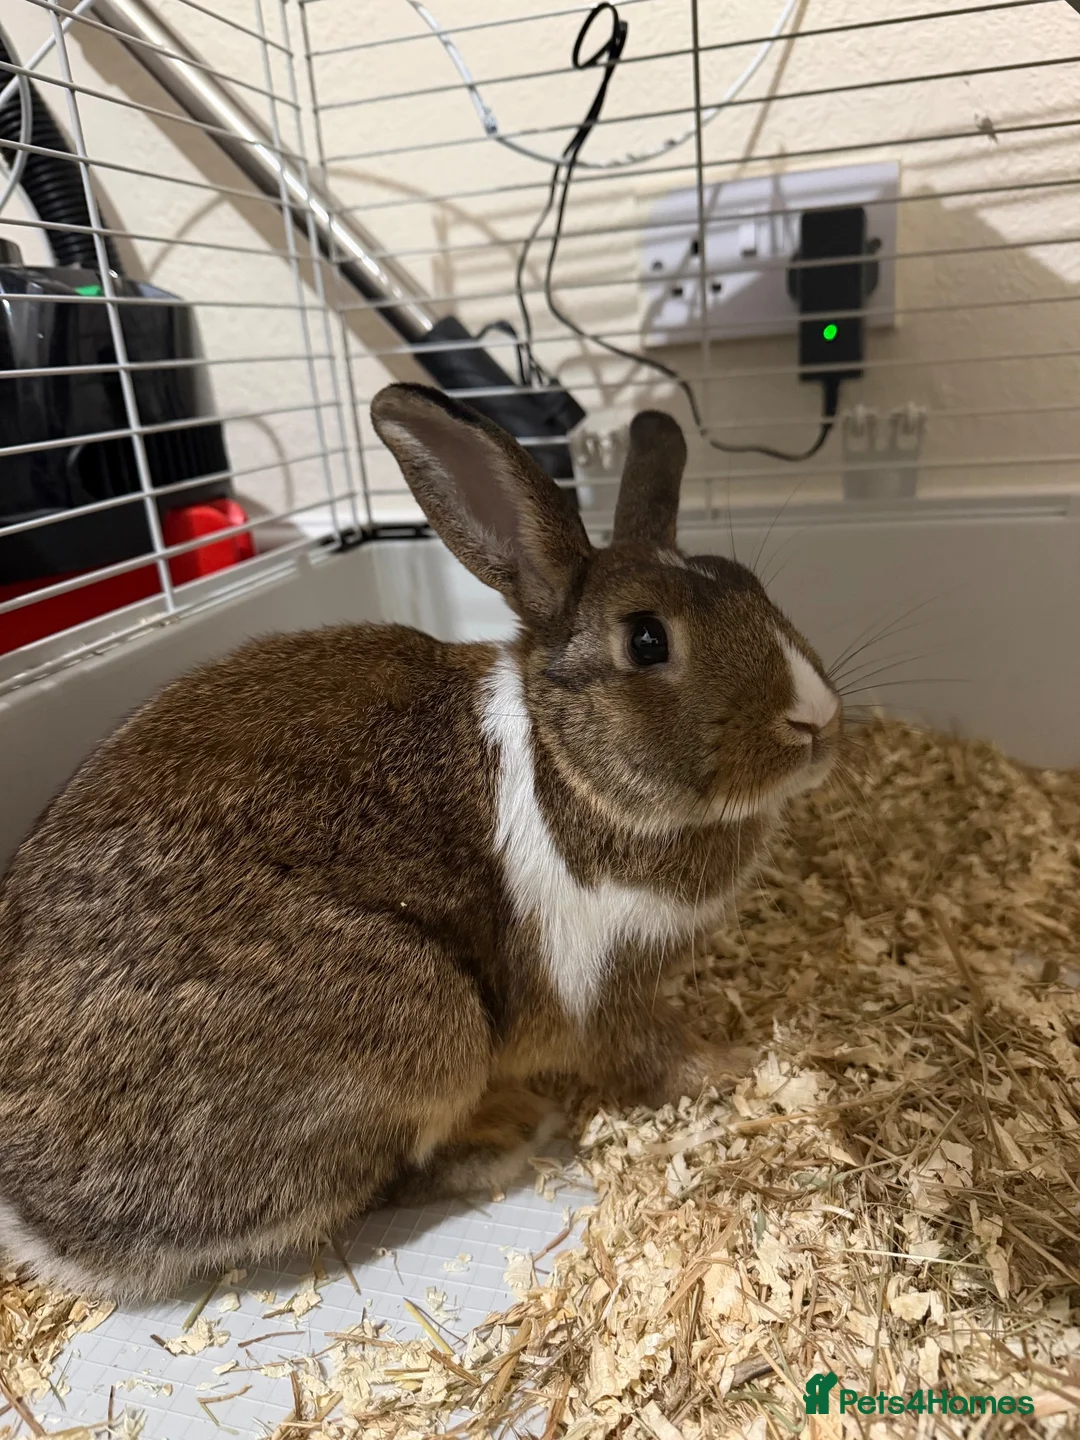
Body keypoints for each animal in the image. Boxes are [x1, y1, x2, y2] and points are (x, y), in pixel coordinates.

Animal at [0, 383, 841, 1299]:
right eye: (648, 639)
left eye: (751, 586)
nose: (816, 719)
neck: (567, 764)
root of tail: (44, 1224)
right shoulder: (600, 985)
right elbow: (653, 1057)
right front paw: (735, 1067)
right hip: (426, 1023)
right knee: (384, 1180)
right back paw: (508, 1132)